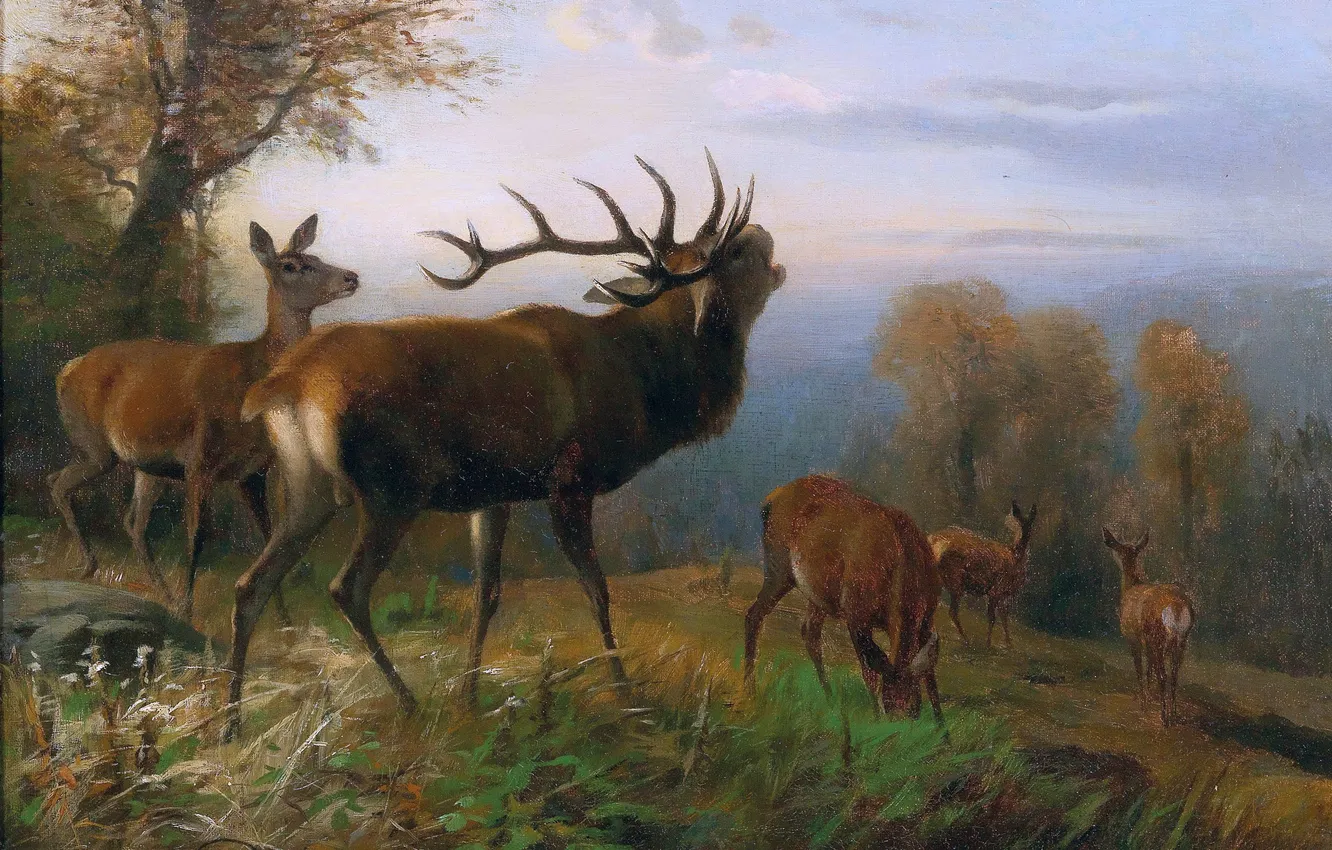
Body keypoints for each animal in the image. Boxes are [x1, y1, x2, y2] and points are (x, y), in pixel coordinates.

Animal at [49, 215, 359, 622]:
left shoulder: (254, 470)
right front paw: (188, 608)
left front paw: (283, 619)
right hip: (96, 446)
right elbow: (197, 535)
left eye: (317, 257)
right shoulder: (201, 460)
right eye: (292, 266)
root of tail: (66, 369)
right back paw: (92, 566)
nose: (351, 277)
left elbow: (266, 537)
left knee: (131, 521)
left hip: (148, 466)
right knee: (60, 484)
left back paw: (159, 592)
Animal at [222, 149, 785, 739]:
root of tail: (285, 383)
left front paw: (470, 697)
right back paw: (409, 704)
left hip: (308, 488)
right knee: (345, 588)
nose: (762, 234)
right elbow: (598, 590)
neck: (643, 383)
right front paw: (627, 695)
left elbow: (486, 596)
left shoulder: (495, 493)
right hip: (391, 488)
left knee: (248, 585)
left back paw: (232, 721)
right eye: (731, 253)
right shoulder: (570, 478)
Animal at [743, 474, 944, 720]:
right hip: (778, 569)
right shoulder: (856, 613)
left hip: (817, 595)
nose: (900, 722)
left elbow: (931, 679)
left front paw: (942, 727)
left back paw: (829, 698)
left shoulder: (927, 619)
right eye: (889, 705)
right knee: (754, 615)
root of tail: (770, 500)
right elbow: (869, 673)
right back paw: (750, 690)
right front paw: (875, 719)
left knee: (809, 632)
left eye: (914, 708)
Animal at [929, 501, 1037, 649]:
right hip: (955, 580)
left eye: (1031, 523)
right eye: (1017, 523)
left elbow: (1004, 617)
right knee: (952, 611)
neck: (1015, 558)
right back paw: (966, 640)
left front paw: (1008, 644)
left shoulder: (1003, 594)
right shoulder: (996, 590)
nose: (1023, 540)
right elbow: (992, 618)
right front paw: (989, 643)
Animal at [1102, 527, 1195, 727]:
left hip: (1159, 636)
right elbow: (1149, 669)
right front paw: (1149, 699)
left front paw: (1143, 702)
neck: (1131, 587)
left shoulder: (1133, 638)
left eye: (1117, 549)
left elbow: (1139, 670)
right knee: (1174, 675)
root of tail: (1176, 605)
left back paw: (1164, 717)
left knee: (1164, 675)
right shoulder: (1147, 642)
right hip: (1182, 639)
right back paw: (1174, 714)